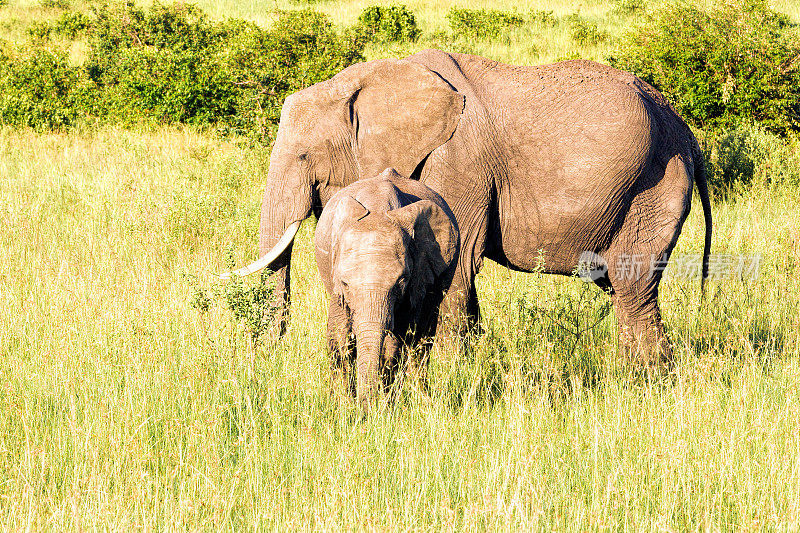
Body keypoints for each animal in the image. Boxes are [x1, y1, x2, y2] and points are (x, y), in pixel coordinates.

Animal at [227, 48, 712, 366]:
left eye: (304, 156)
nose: (266, 356)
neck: (371, 79)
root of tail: (686, 132)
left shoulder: (457, 161)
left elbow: (457, 271)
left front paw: (448, 376)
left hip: (655, 185)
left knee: (633, 288)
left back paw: (645, 380)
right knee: (624, 289)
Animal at [316, 168, 460, 406]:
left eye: (401, 281)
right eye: (345, 283)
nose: (364, 407)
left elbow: (396, 342)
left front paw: (384, 404)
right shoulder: (335, 281)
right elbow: (339, 338)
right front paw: (343, 404)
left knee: (421, 340)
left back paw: (422, 399)